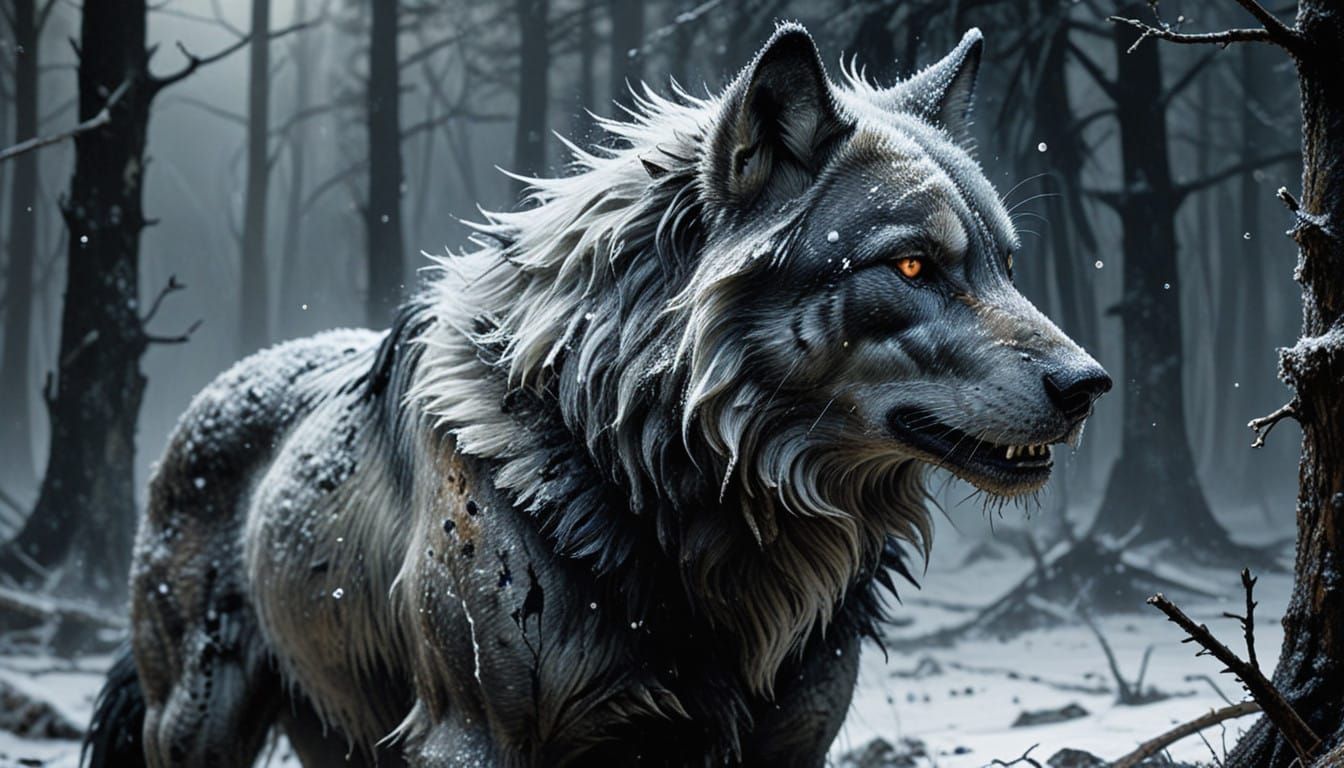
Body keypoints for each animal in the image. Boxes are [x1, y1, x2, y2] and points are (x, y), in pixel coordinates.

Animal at [84, 22, 1109, 768]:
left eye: (1005, 264)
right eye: (913, 265)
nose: (1090, 385)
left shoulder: (790, 747)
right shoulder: (474, 742)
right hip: (199, 727)